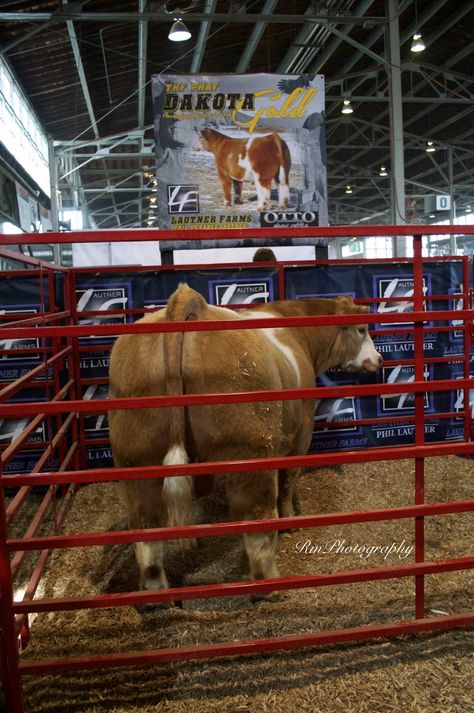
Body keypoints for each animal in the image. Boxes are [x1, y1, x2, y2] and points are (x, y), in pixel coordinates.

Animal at [108, 282, 382, 588]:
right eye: (361, 329)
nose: (378, 359)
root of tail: (188, 304)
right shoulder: (301, 432)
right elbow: (288, 480)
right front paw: (291, 521)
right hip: (252, 449)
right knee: (257, 518)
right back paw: (268, 583)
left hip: (136, 456)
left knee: (146, 533)